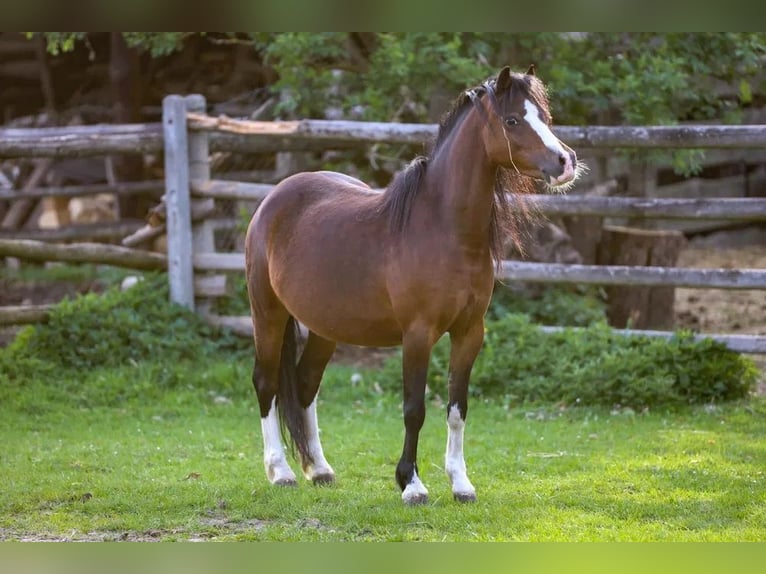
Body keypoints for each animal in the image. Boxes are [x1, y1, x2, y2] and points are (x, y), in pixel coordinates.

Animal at [243, 65, 580, 506]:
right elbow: (414, 409)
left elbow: (457, 408)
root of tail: (273, 200)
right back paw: (280, 471)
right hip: (268, 314)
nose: (565, 162)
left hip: (324, 326)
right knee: (266, 383)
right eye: (512, 121)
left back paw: (319, 469)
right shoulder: (418, 335)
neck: (442, 228)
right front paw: (411, 484)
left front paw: (461, 483)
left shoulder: (470, 333)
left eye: (544, 116)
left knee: (304, 384)